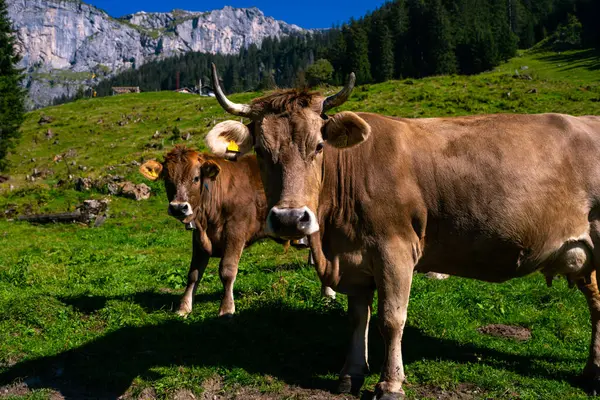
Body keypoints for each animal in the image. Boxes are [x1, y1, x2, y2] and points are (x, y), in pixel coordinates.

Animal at [140, 147, 332, 318]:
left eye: (196, 178)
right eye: (167, 179)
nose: (178, 207)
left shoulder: (236, 230)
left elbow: (227, 270)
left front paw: (226, 309)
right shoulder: (199, 239)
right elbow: (193, 274)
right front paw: (184, 308)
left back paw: (328, 295)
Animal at [205, 64, 600, 398]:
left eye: (318, 146)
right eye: (261, 150)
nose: (290, 219)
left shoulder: (394, 249)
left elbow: (391, 319)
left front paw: (390, 383)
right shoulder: (353, 258)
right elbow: (358, 318)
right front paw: (351, 373)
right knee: (596, 302)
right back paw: (590, 371)